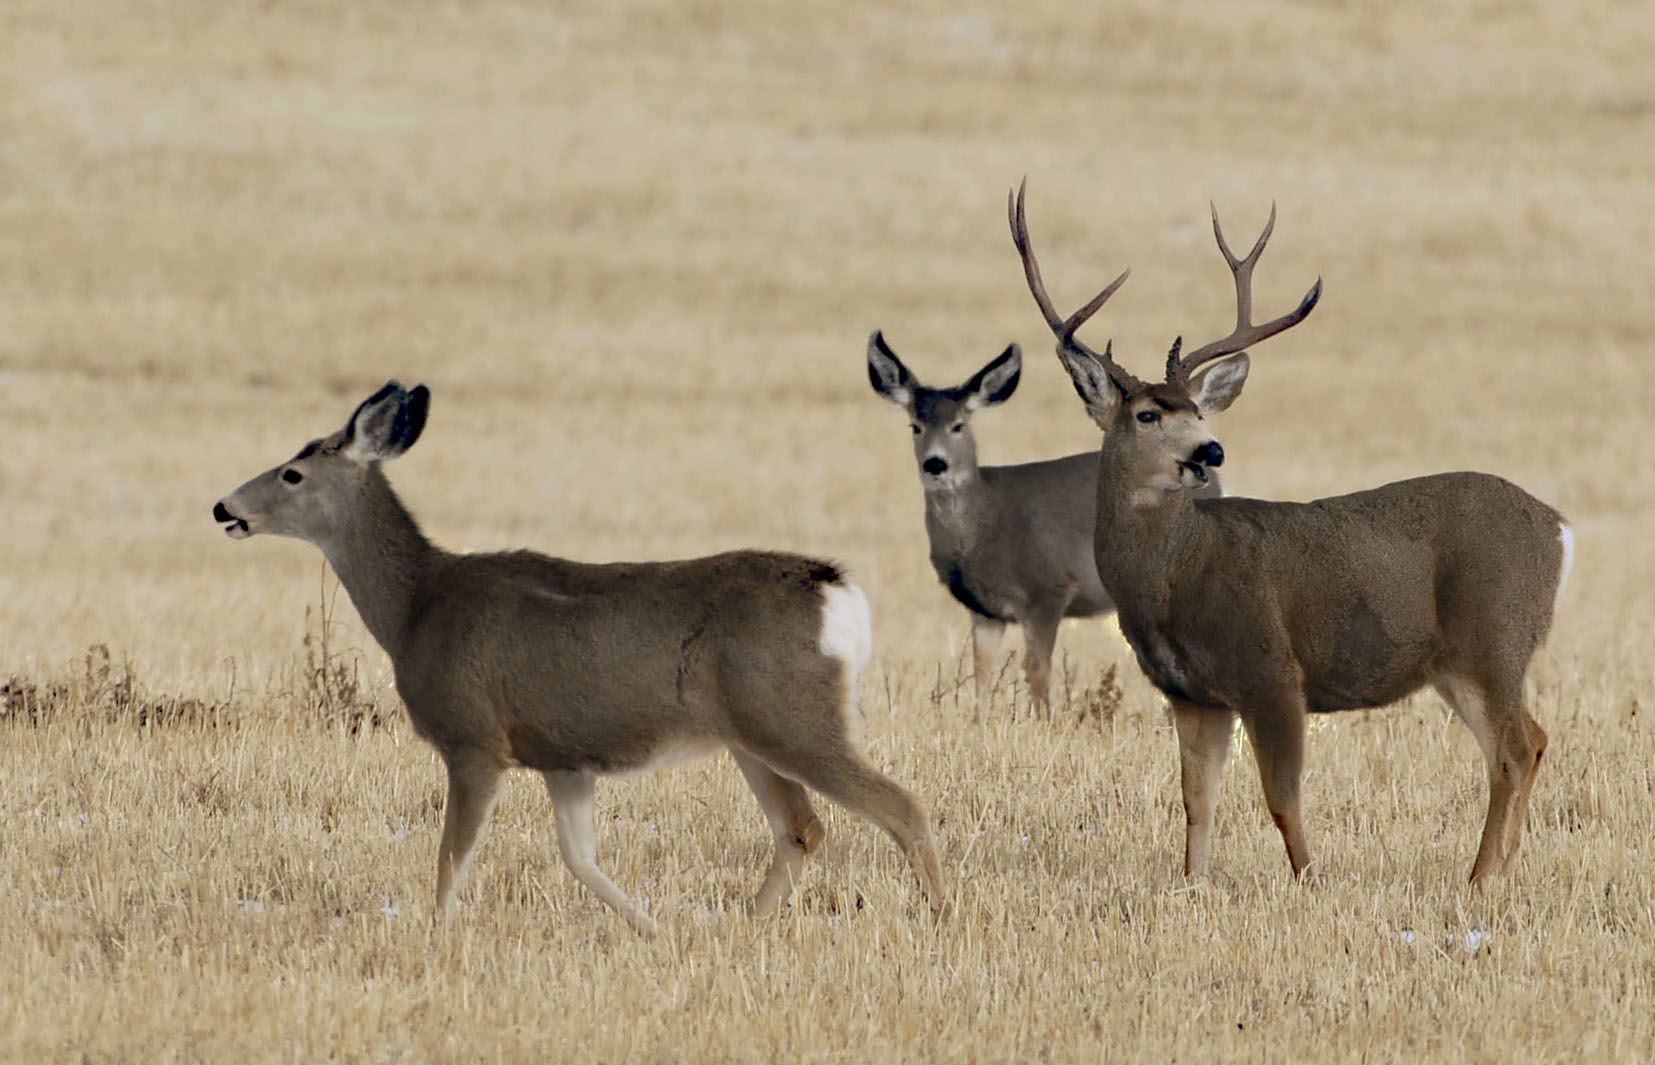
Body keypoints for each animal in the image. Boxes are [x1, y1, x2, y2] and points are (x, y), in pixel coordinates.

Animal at [215, 382, 946, 932]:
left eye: (293, 472)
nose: (223, 506)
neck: (417, 605)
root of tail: (839, 592)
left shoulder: (474, 738)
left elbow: (453, 859)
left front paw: (435, 934)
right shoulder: (564, 757)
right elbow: (579, 857)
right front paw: (652, 929)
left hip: (794, 717)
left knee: (902, 806)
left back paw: (940, 916)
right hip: (752, 734)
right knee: (800, 828)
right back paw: (743, 928)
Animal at [1006, 182, 1562, 879]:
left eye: (1198, 410)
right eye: (1148, 413)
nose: (1210, 451)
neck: (1174, 574)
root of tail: (1557, 527)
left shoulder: (1271, 670)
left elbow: (1281, 798)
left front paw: (1310, 881)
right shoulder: (1193, 694)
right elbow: (1196, 799)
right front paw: (1192, 885)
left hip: (1492, 638)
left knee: (1519, 746)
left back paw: (1480, 878)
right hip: (1464, 662)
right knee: (1524, 745)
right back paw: (1499, 872)